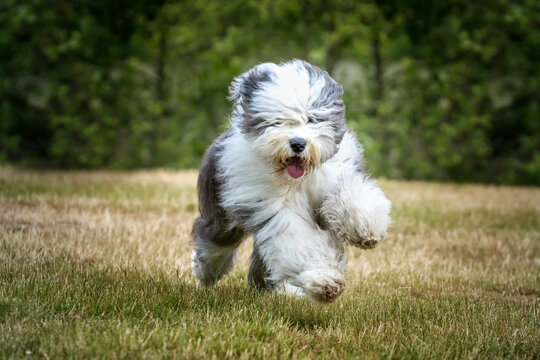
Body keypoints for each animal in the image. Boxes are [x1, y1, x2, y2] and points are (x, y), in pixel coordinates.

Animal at [192, 60, 390, 302]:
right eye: (277, 122)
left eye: (311, 119)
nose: (297, 143)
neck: (297, 180)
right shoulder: (274, 209)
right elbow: (297, 238)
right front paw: (325, 280)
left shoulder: (336, 175)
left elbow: (350, 196)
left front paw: (365, 228)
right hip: (220, 212)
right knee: (217, 241)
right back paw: (207, 274)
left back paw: (282, 291)